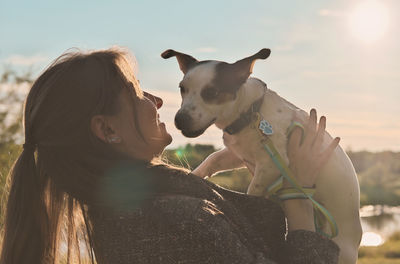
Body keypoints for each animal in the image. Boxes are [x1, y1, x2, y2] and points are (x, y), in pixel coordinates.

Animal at [162, 48, 362, 262]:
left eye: (211, 92)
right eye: (182, 88)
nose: (179, 120)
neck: (251, 113)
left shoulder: (270, 165)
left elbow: (253, 191)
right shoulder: (238, 153)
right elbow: (212, 158)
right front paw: (193, 176)